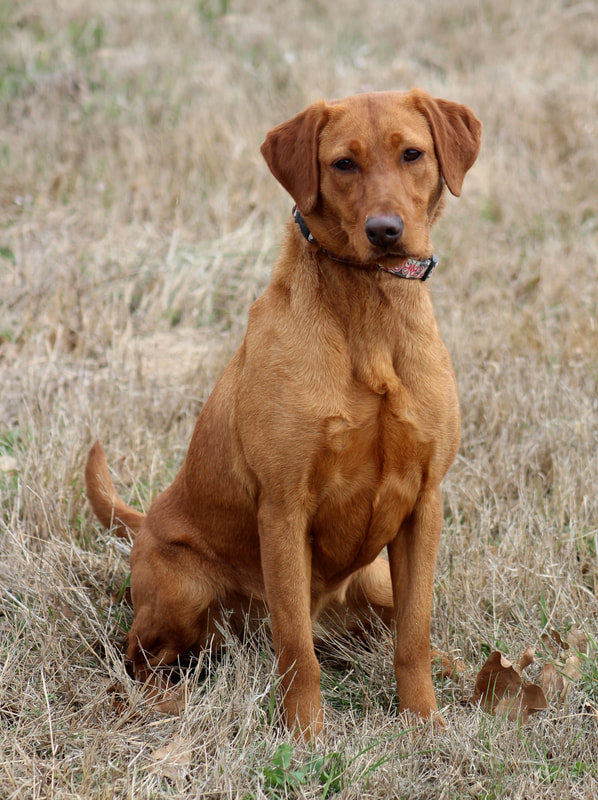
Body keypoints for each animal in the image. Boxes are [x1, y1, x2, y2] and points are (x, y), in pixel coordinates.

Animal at [86, 87, 482, 736]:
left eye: (412, 154)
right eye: (343, 163)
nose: (385, 231)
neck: (368, 313)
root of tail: (143, 523)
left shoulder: (424, 503)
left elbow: (415, 635)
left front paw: (424, 722)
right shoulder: (283, 507)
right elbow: (296, 647)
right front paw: (307, 736)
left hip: (375, 581)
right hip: (184, 592)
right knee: (138, 655)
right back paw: (164, 701)